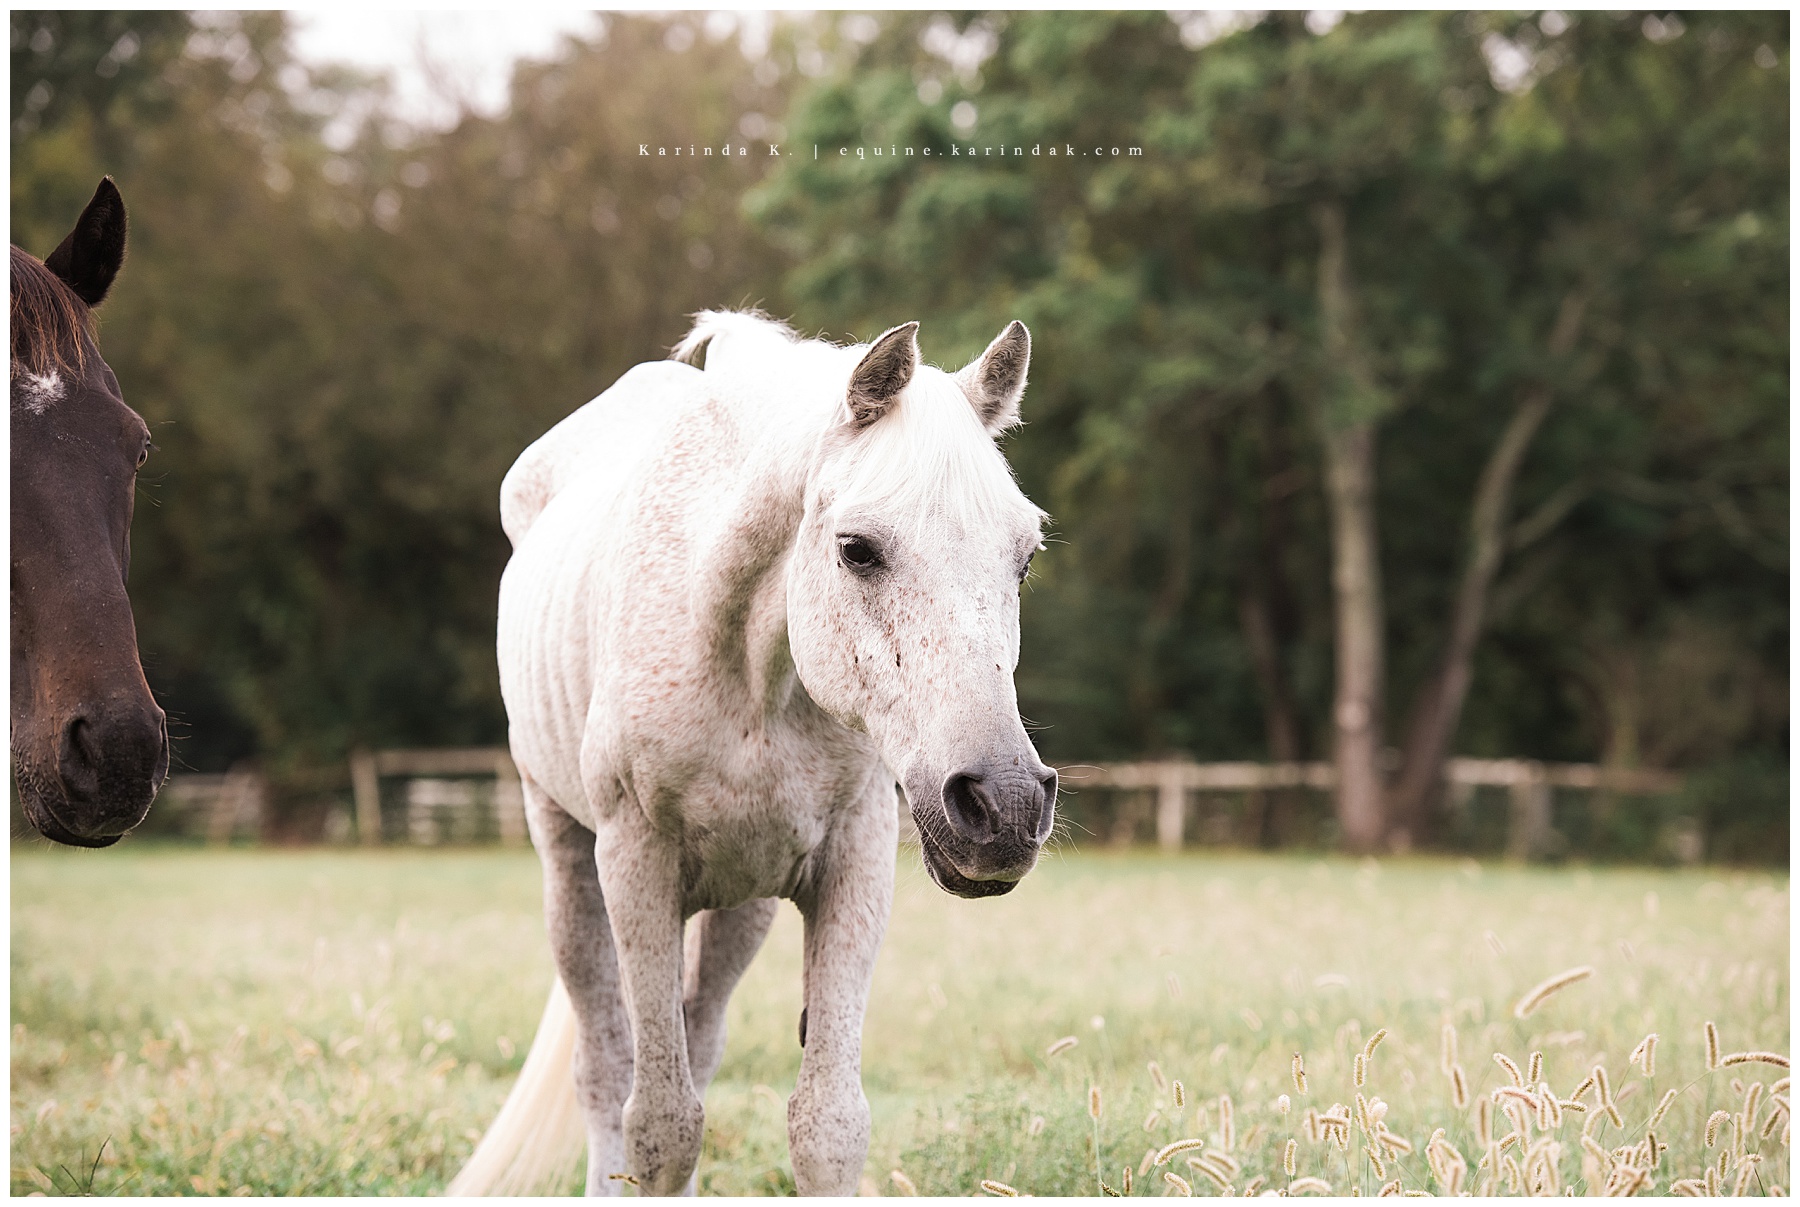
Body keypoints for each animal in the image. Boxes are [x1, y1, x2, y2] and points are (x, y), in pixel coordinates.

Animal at [451, 311, 1056, 1196]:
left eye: (1026, 555)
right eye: (857, 548)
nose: (1004, 805)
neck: (750, 675)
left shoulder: (853, 864)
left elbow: (827, 1126)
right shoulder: (635, 866)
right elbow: (658, 1126)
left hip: (741, 903)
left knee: (697, 1045)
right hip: (566, 860)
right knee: (604, 1072)